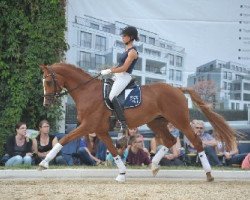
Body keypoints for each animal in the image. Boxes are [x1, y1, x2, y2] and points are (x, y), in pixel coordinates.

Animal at [39, 63, 236, 182]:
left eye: (48, 81)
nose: (46, 104)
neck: (87, 91)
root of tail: (178, 89)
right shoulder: (100, 130)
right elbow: (113, 151)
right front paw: (122, 174)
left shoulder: (88, 126)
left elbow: (64, 139)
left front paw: (44, 163)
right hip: (156, 122)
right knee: (170, 140)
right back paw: (154, 166)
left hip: (180, 121)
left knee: (196, 141)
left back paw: (209, 174)